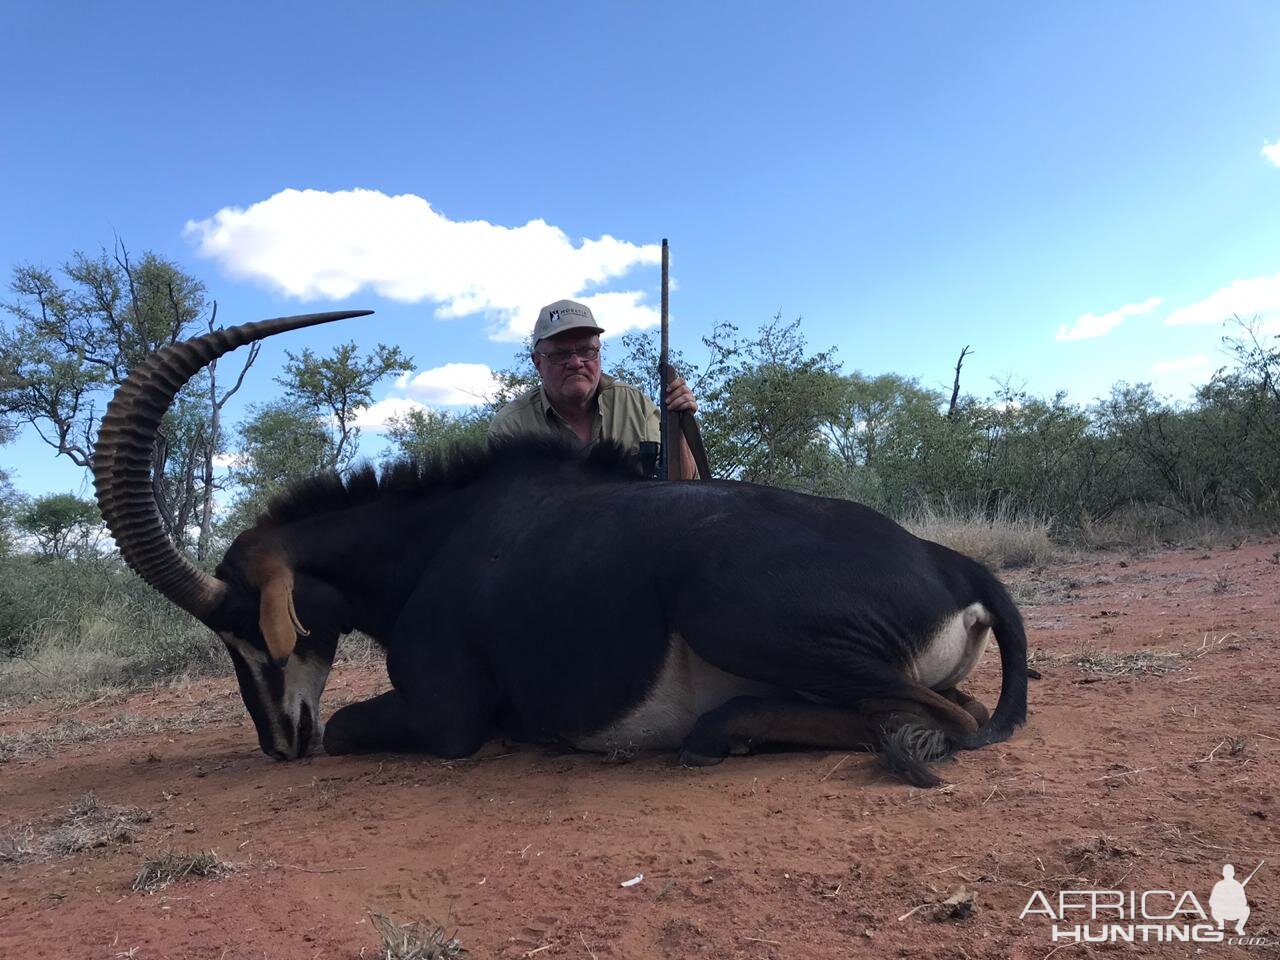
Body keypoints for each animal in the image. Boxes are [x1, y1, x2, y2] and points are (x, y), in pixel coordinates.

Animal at [92, 312, 1029, 783]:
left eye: (245, 628)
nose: (278, 742)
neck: (435, 541)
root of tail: (953, 562)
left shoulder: (446, 717)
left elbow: (354, 726)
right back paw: (724, 731)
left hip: (730, 609)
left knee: (947, 718)